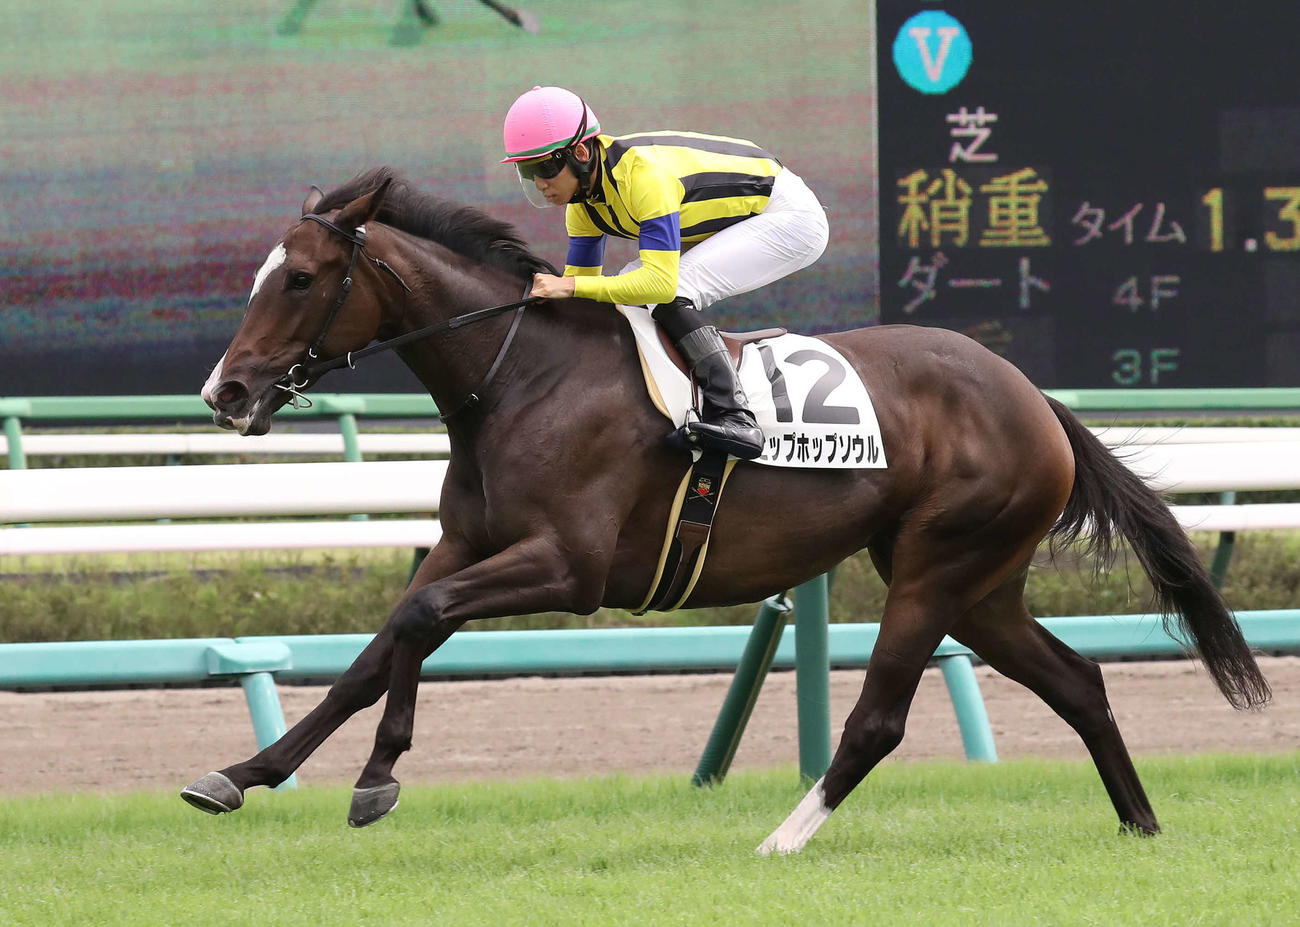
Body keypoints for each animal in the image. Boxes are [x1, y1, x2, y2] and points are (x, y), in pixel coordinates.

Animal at [183, 167, 1270, 853]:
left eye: (303, 279)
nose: (223, 392)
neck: (520, 375)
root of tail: (1033, 398)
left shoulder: (567, 568)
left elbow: (413, 621)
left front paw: (377, 778)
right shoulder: (463, 545)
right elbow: (374, 653)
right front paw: (243, 771)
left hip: (938, 568)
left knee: (878, 720)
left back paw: (780, 840)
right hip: (981, 583)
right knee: (1079, 681)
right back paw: (1139, 823)